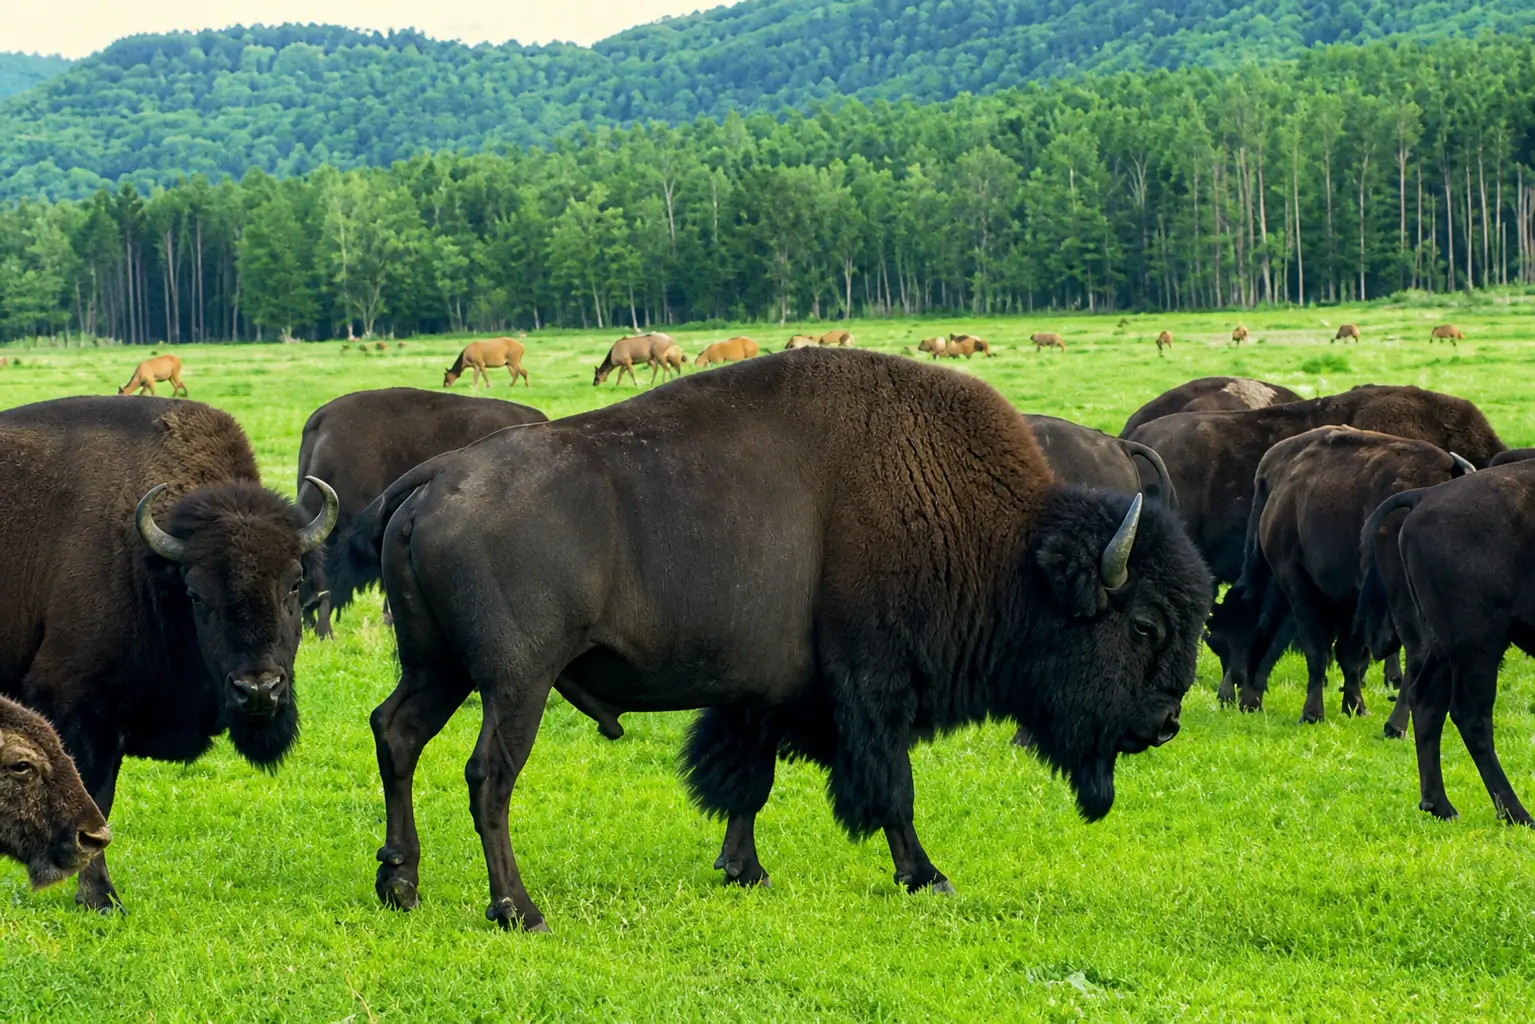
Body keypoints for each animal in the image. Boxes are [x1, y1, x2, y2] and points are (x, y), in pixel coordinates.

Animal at [362, 349, 1211, 930]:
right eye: (1141, 625)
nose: (1165, 723)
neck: (1003, 545)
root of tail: (434, 480)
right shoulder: (875, 688)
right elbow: (892, 789)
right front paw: (926, 875)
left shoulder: (761, 696)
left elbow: (749, 782)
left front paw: (744, 870)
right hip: (515, 682)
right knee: (489, 776)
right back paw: (518, 909)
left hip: (438, 668)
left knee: (396, 733)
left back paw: (399, 885)